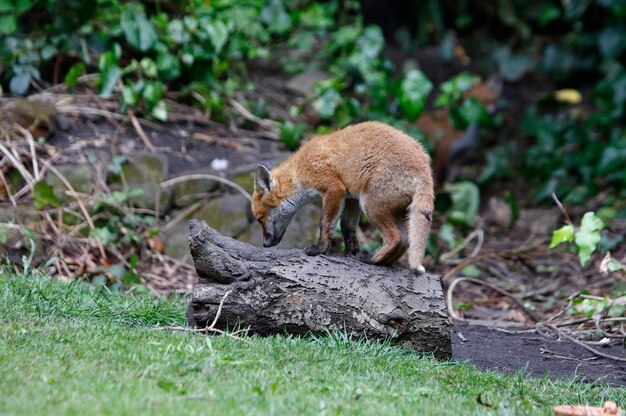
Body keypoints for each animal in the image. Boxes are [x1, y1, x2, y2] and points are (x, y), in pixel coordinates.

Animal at [250, 122, 434, 274]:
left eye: (259, 219)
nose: (265, 244)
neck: (298, 173)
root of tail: (425, 169)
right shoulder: (351, 198)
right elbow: (347, 228)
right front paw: (350, 253)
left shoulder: (333, 189)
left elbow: (325, 224)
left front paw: (319, 250)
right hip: (392, 211)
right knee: (405, 241)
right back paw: (382, 262)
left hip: (370, 205)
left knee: (396, 238)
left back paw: (370, 259)